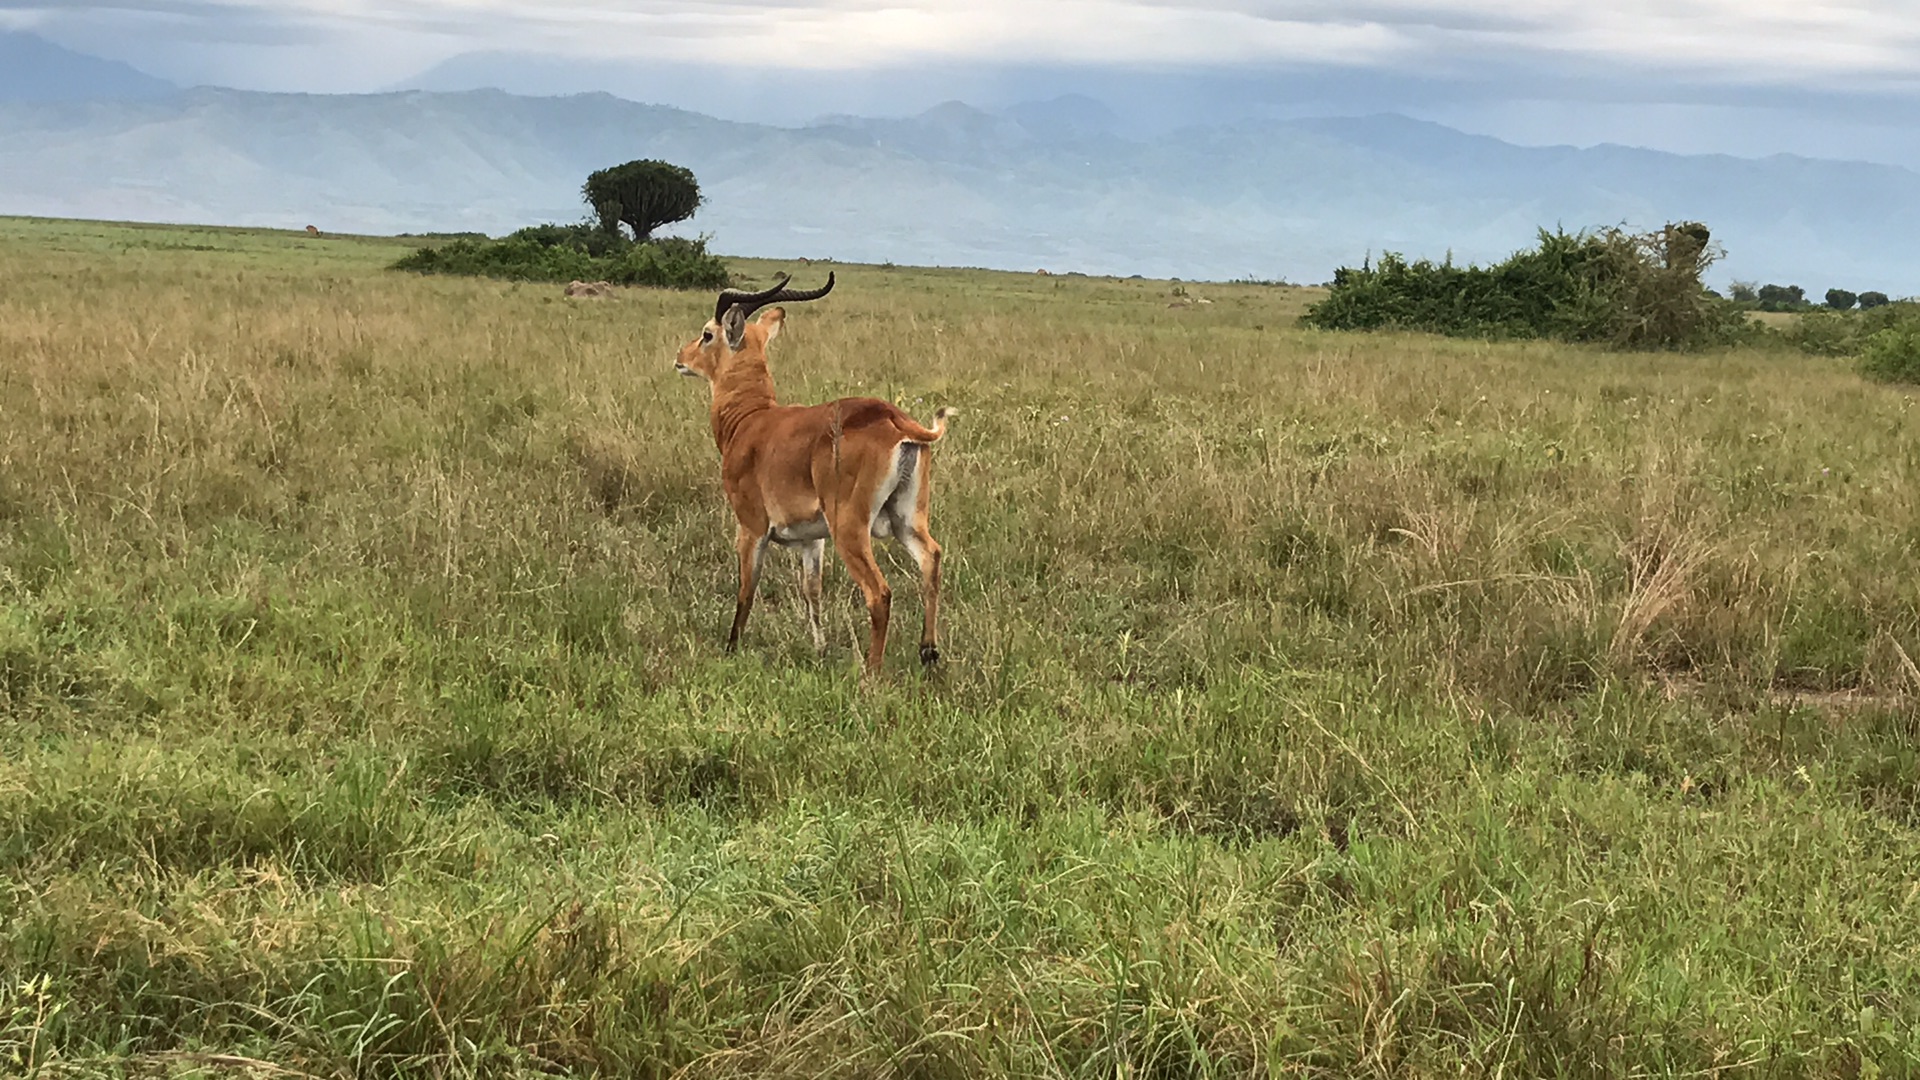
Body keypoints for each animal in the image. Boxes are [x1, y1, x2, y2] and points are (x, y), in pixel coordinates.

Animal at [675, 270, 960, 672]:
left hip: (850, 528)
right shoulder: (813, 538)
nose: (680, 358)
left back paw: (871, 673)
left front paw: (731, 648)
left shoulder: (751, 526)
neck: (749, 421)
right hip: (906, 518)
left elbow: (747, 589)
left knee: (880, 593)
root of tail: (896, 421)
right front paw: (820, 649)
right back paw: (928, 652)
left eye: (707, 334)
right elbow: (813, 592)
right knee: (931, 559)